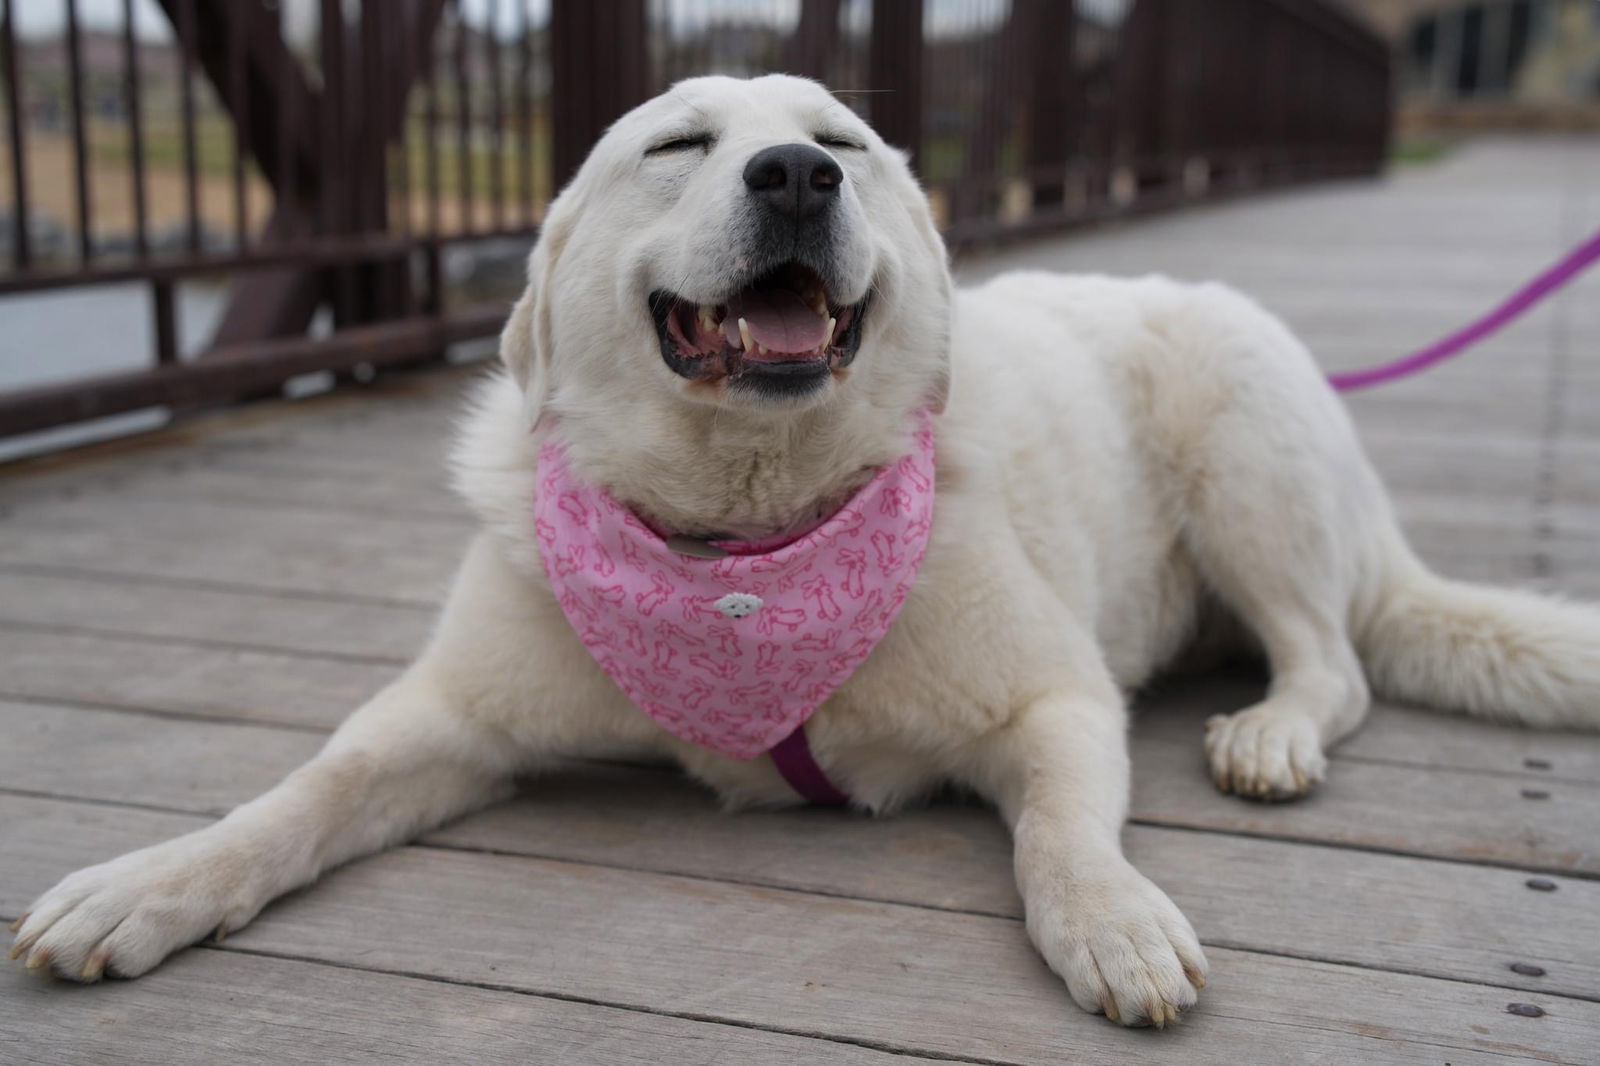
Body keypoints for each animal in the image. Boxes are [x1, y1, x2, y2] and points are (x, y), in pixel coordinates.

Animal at [12, 74, 1600, 1024]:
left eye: (836, 145)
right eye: (677, 146)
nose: (790, 178)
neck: (744, 551)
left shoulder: (1056, 698)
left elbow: (1063, 834)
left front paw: (1113, 919)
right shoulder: (445, 715)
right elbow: (297, 794)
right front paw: (148, 880)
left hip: (1237, 440)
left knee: (1332, 659)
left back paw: (1270, 728)